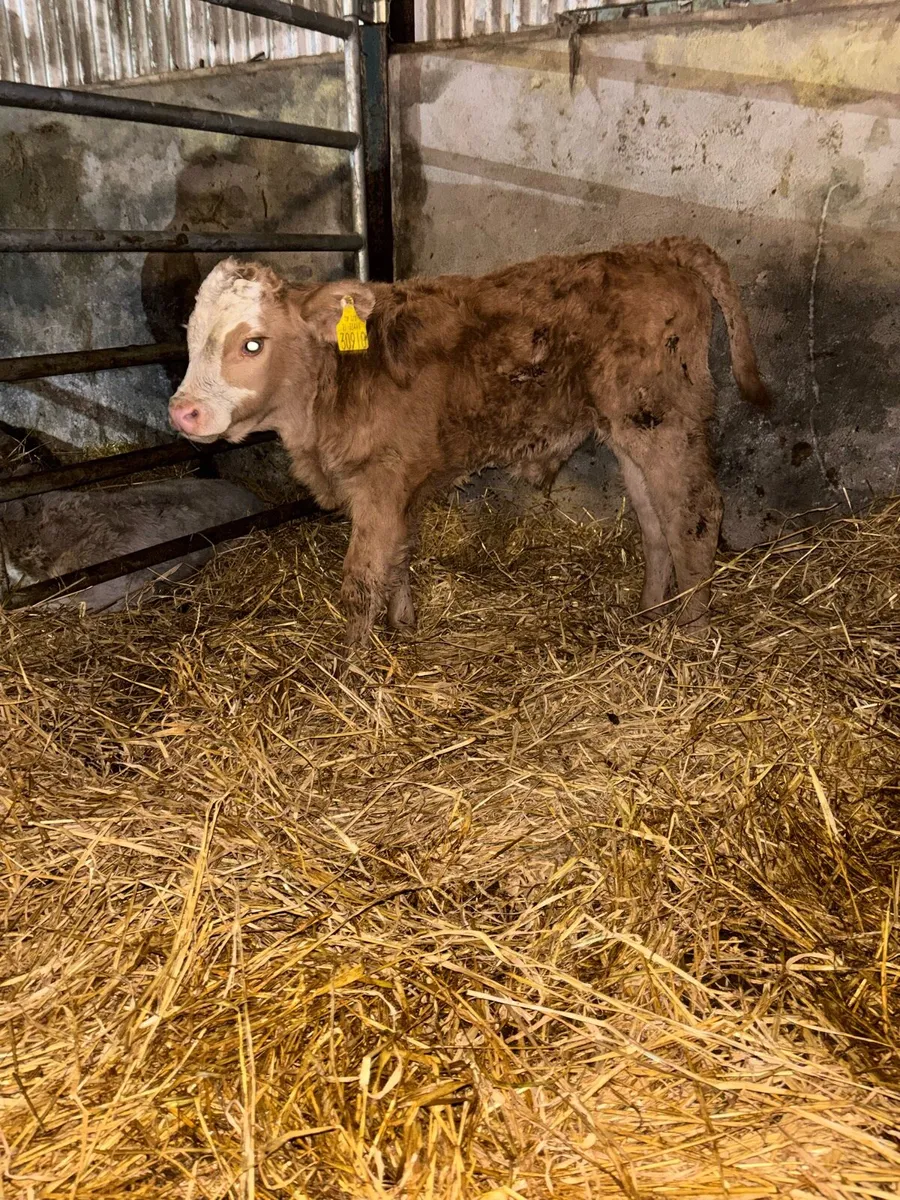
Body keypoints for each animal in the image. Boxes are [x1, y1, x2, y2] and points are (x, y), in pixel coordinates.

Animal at [169, 239, 770, 647]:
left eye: (252, 343)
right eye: (190, 337)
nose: (183, 411)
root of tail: (655, 247)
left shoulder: (380, 482)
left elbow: (362, 579)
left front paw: (351, 668)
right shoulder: (404, 484)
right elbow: (399, 556)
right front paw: (404, 627)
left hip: (664, 418)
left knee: (694, 513)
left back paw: (691, 635)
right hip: (630, 426)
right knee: (654, 518)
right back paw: (647, 616)